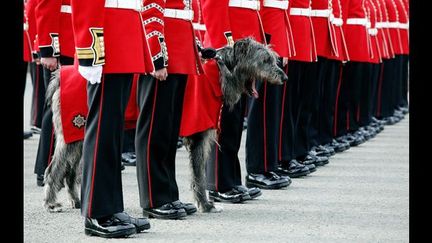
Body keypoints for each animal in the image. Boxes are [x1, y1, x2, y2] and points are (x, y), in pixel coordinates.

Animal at [43, 37, 286, 213]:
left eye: (272, 58)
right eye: (265, 60)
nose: (284, 78)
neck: (218, 72)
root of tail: (60, 76)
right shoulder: (197, 135)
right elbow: (198, 175)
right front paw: (205, 205)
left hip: (78, 135)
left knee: (70, 172)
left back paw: (76, 201)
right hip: (73, 128)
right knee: (53, 169)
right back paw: (51, 203)